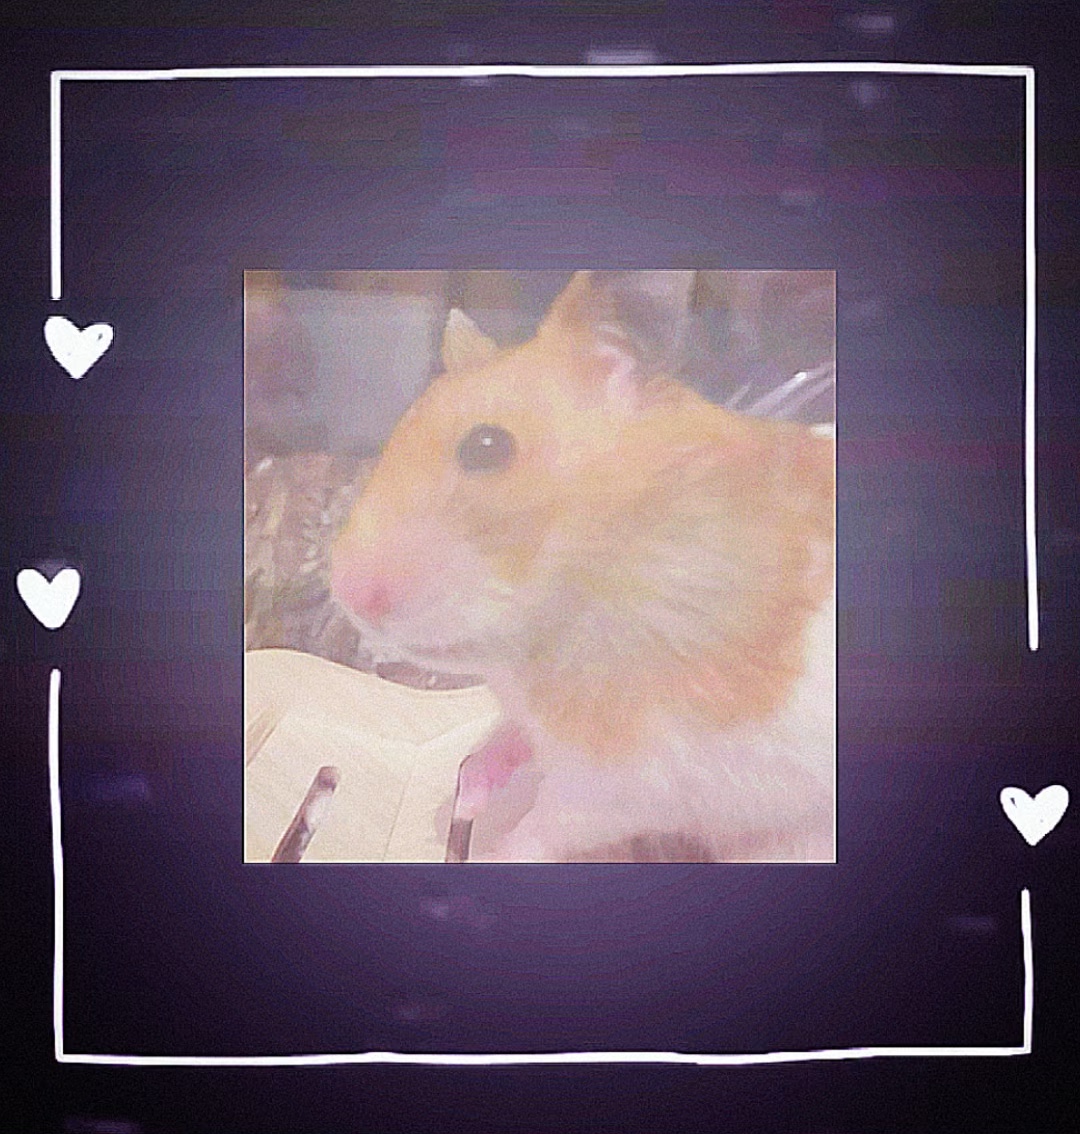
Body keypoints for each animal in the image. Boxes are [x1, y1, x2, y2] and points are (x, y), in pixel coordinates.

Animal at [330, 270, 835, 863]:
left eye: (487, 446)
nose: (347, 591)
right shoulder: (530, 718)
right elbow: (504, 739)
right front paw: (465, 799)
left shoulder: (626, 783)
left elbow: (543, 826)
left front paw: (486, 845)